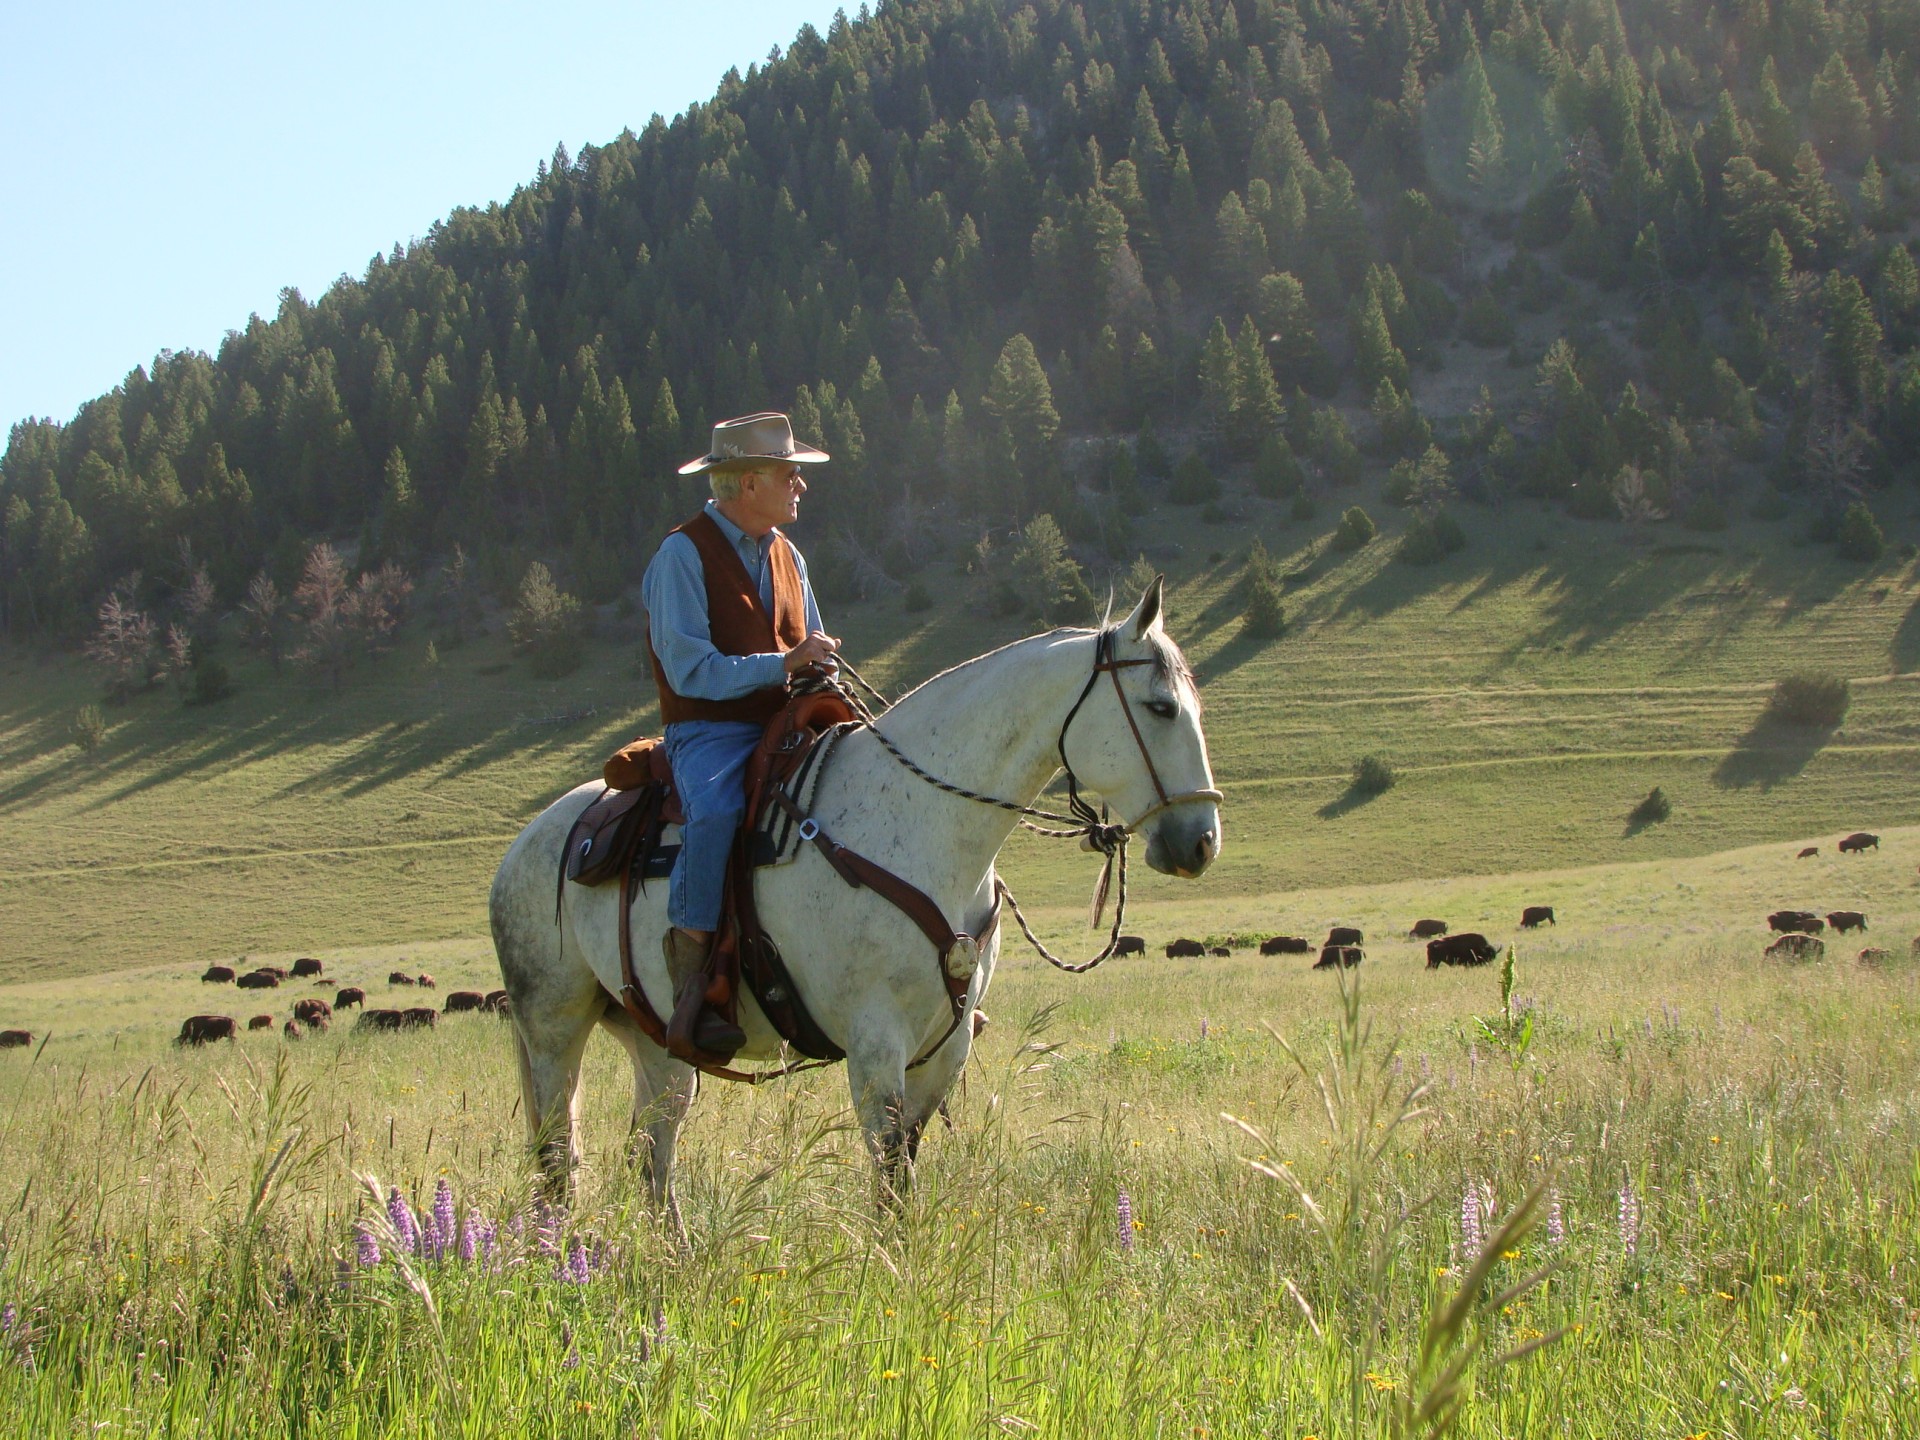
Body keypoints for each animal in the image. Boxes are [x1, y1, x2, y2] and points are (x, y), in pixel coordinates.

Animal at [489, 580, 1221, 1213]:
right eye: (1160, 707)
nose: (1202, 841)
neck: (926, 822)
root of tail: (530, 843)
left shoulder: (946, 1043)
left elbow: (908, 1165)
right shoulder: (875, 1041)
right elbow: (891, 1174)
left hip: (660, 1043)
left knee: (649, 1155)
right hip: (553, 1027)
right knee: (556, 1158)